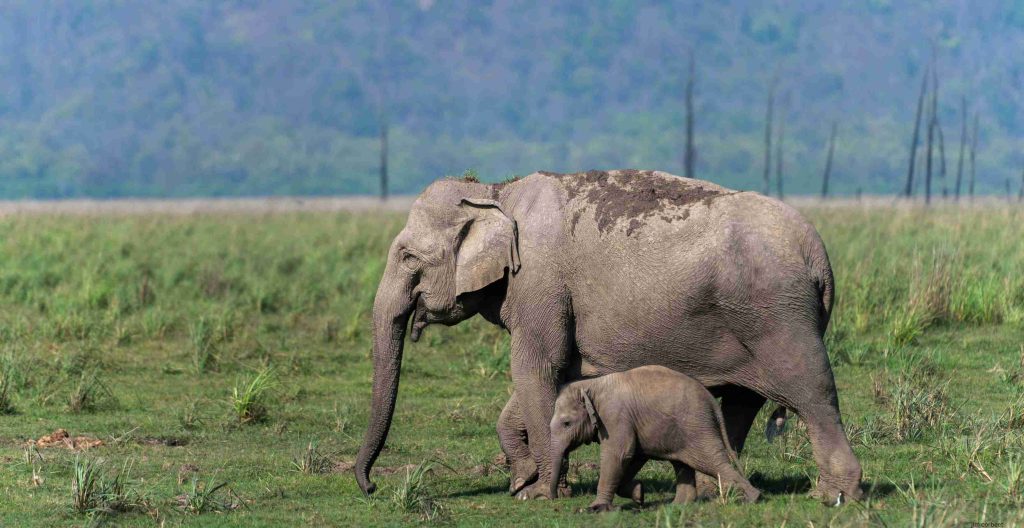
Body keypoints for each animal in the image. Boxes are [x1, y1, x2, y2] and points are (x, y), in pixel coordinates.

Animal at [552, 364, 761, 509]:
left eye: (566, 423)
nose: (553, 498)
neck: (591, 385)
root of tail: (711, 401)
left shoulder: (615, 417)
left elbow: (620, 454)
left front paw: (596, 509)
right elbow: (633, 456)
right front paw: (640, 494)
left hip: (696, 426)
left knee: (710, 460)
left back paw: (753, 499)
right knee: (683, 463)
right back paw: (678, 506)